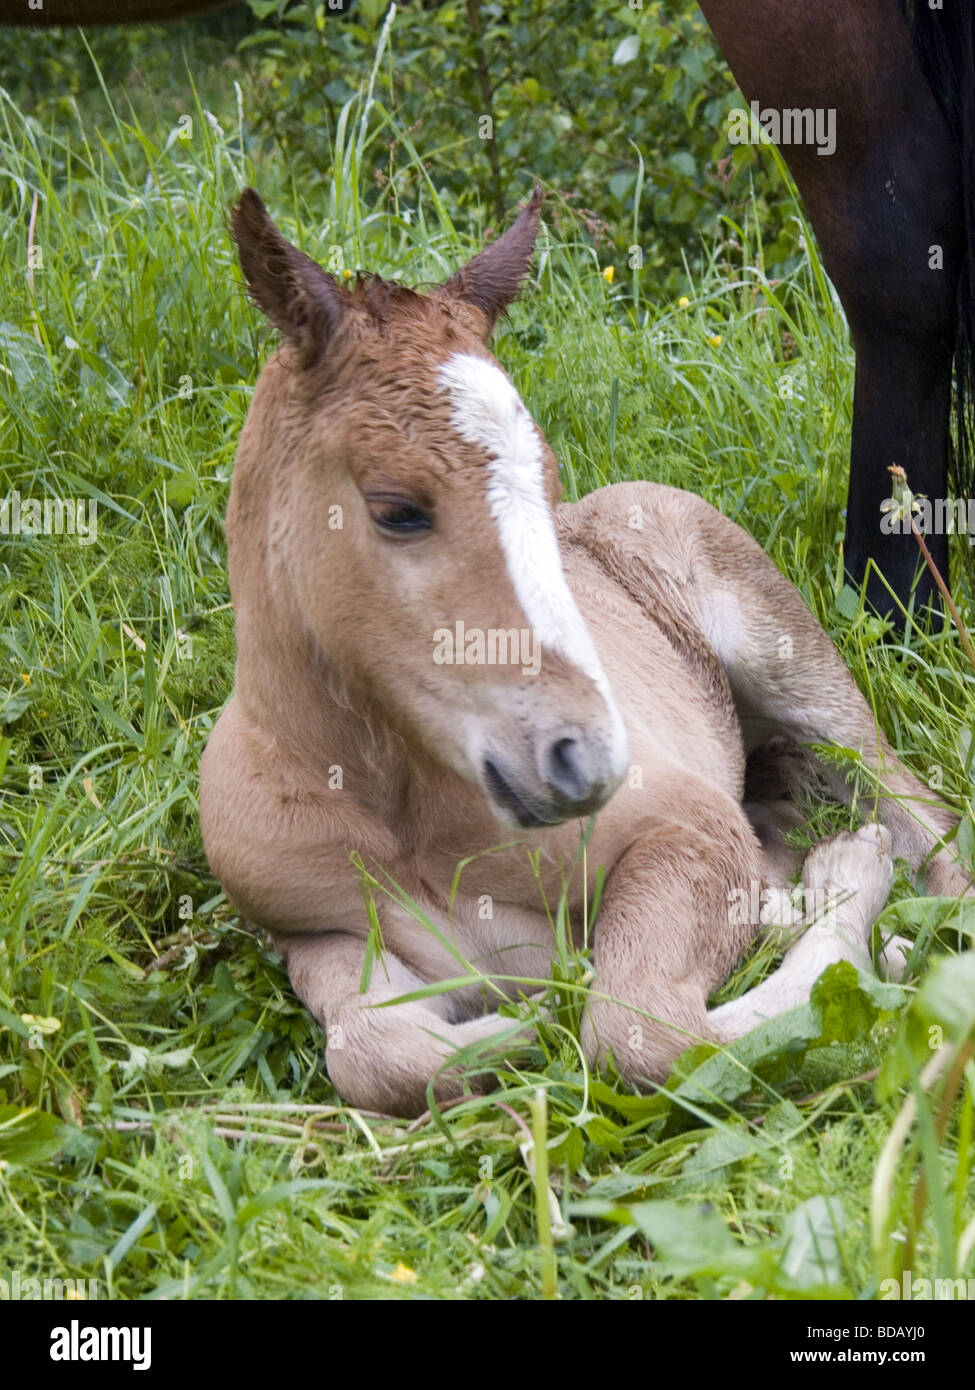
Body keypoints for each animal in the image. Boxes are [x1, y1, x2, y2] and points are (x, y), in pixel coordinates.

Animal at [201, 187, 968, 1117]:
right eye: (394, 508)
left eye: (546, 483)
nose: (587, 759)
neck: (396, 803)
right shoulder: (314, 929)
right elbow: (373, 1052)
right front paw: (518, 1030)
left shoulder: (685, 824)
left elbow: (639, 1030)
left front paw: (852, 903)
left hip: (793, 667)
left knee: (919, 813)